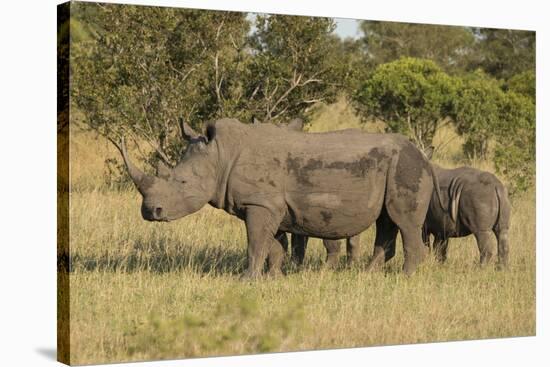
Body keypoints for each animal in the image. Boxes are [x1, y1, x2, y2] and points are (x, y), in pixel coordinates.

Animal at [119, 118, 444, 278]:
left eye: (183, 182)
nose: (150, 211)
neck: (221, 155)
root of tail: (424, 157)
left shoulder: (260, 203)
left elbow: (255, 244)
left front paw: (246, 279)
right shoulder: (270, 205)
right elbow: (272, 246)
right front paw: (273, 278)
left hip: (406, 166)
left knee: (404, 222)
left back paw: (404, 278)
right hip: (395, 168)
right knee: (386, 221)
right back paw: (367, 276)